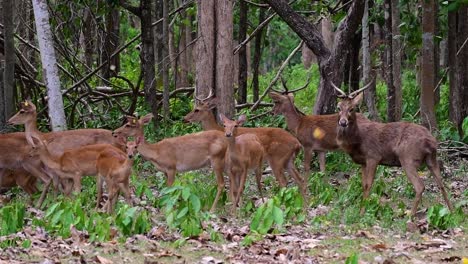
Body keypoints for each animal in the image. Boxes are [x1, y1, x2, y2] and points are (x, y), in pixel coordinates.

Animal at [330, 83, 452, 216]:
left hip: (408, 158)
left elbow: (368, 184)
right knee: (441, 185)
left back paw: (410, 215)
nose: (343, 122)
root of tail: (431, 141)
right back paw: (452, 211)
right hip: (431, 159)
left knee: (420, 186)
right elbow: (363, 185)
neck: (358, 140)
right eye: (338, 107)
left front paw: (362, 212)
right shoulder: (363, 162)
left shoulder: (373, 156)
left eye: (352, 108)